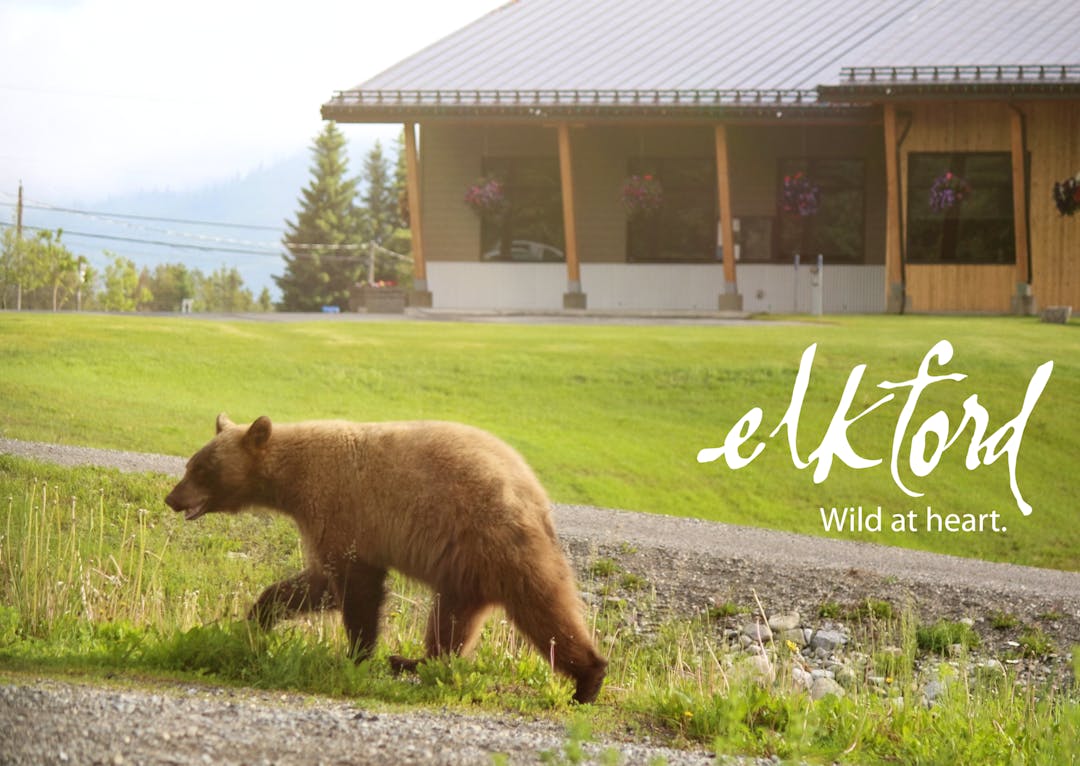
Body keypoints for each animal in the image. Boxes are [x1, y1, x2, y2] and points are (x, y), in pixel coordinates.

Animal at [166, 414, 609, 700]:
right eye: (190, 463)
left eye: (201, 468)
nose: (172, 498)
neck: (292, 481)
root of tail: (535, 491)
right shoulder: (327, 525)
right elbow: (317, 583)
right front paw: (258, 618)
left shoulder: (345, 510)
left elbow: (356, 588)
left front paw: (357, 654)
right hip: (466, 569)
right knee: (452, 621)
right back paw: (415, 662)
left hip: (496, 539)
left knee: (542, 606)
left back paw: (588, 681)